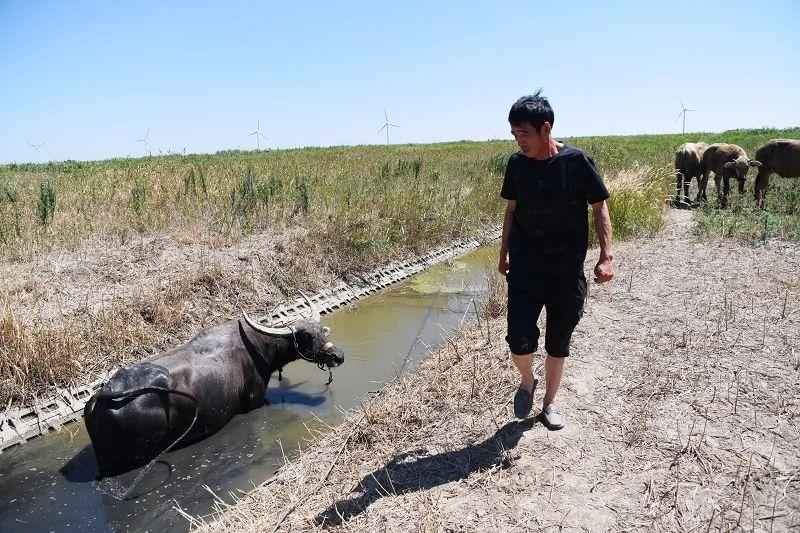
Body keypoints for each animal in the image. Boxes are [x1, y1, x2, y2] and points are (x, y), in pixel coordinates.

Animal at [84, 298, 344, 476]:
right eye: (307, 336)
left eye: (321, 330)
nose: (338, 356)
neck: (257, 346)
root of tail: (103, 397)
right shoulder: (256, 400)